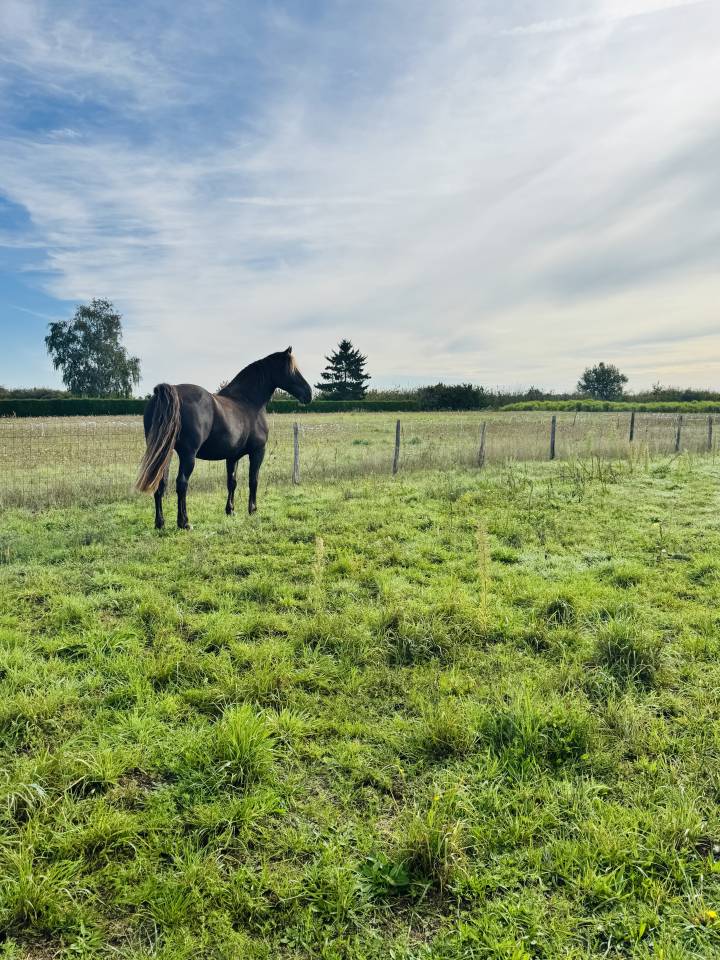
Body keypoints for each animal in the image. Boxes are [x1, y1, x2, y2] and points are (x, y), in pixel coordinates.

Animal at [136, 347, 312, 529]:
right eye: (291, 369)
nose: (309, 393)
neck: (248, 401)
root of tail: (172, 391)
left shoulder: (232, 457)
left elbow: (232, 482)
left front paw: (230, 510)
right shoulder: (258, 452)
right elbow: (253, 480)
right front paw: (253, 509)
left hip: (165, 453)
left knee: (160, 484)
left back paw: (160, 523)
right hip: (187, 455)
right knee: (182, 484)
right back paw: (184, 522)